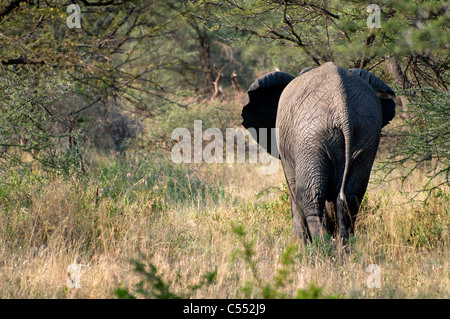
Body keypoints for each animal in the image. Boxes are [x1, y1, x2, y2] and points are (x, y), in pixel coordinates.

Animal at [243, 62, 398, 245]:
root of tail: (342, 108)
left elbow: (294, 192)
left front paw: (300, 245)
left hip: (311, 137)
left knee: (310, 195)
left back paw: (322, 246)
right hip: (365, 132)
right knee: (350, 196)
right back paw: (343, 246)